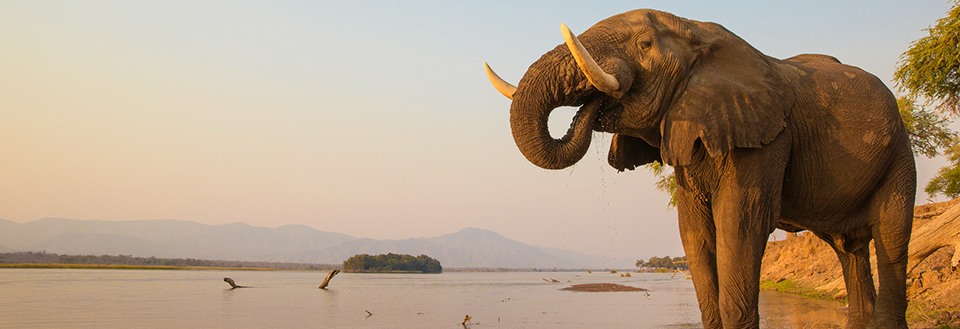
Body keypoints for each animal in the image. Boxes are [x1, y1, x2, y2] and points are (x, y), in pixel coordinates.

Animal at [488, 9, 916, 326]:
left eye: (645, 45)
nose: (595, 105)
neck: (699, 32)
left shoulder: (766, 138)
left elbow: (739, 225)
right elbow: (694, 232)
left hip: (900, 153)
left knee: (891, 238)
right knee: (849, 249)